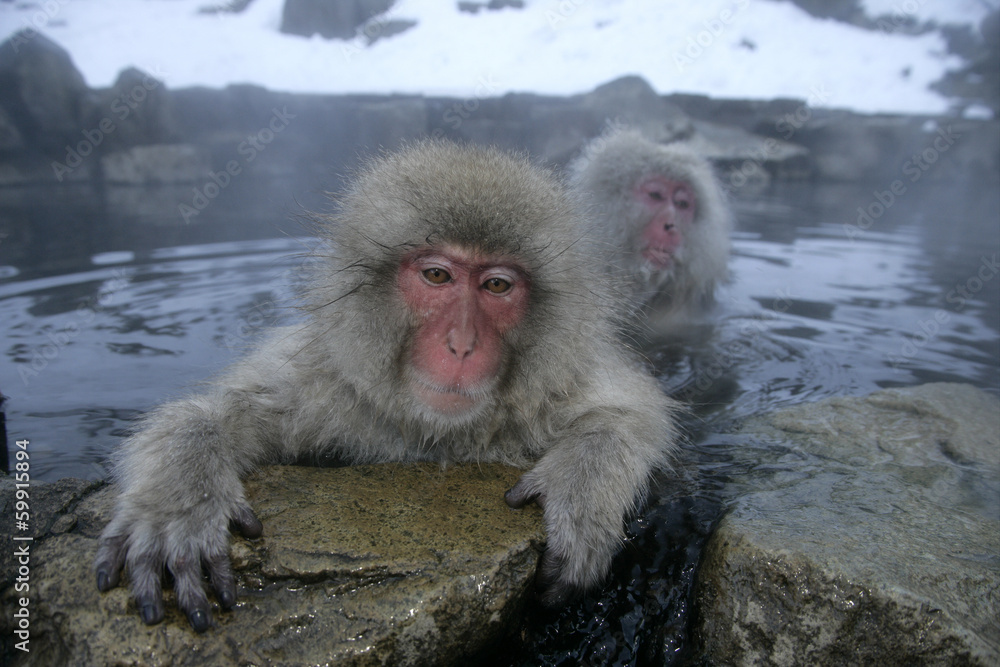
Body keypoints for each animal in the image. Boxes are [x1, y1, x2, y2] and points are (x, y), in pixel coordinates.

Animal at [94, 140, 680, 632]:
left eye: (496, 285)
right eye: (437, 276)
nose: (461, 344)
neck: (437, 432)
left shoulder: (555, 383)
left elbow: (634, 412)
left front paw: (582, 489)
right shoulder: (325, 382)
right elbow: (223, 411)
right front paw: (181, 502)